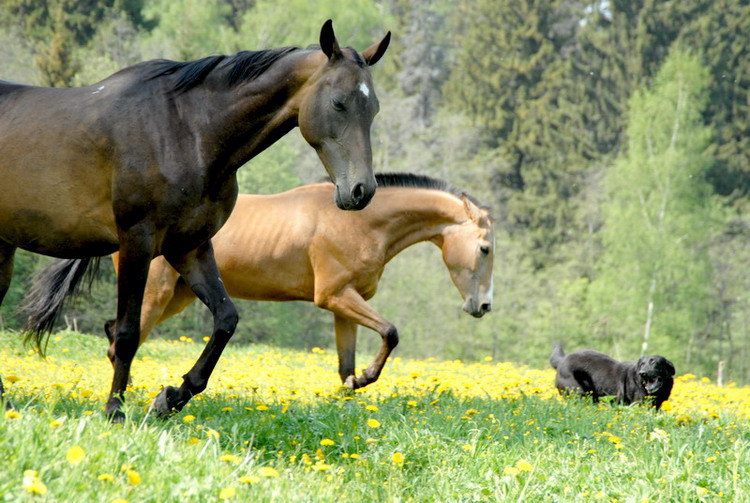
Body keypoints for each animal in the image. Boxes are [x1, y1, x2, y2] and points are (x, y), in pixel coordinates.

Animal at [4, 20, 394, 422]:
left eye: (373, 108)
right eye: (339, 103)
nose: (361, 191)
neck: (187, 131)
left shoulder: (189, 245)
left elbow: (225, 319)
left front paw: (173, 396)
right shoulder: (137, 241)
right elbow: (127, 332)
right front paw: (115, 411)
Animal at [106, 175, 494, 392]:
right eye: (485, 249)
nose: (484, 306)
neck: (362, 221)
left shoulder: (345, 305)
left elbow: (345, 370)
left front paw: (356, 386)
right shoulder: (334, 296)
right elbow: (391, 332)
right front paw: (368, 376)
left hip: (178, 297)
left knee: (115, 334)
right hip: (156, 294)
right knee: (120, 342)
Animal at [548, 342, 680, 410]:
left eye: (654, 363)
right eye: (642, 364)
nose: (642, 373)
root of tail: (562, 360)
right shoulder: (638, 404)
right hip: (578, 392)